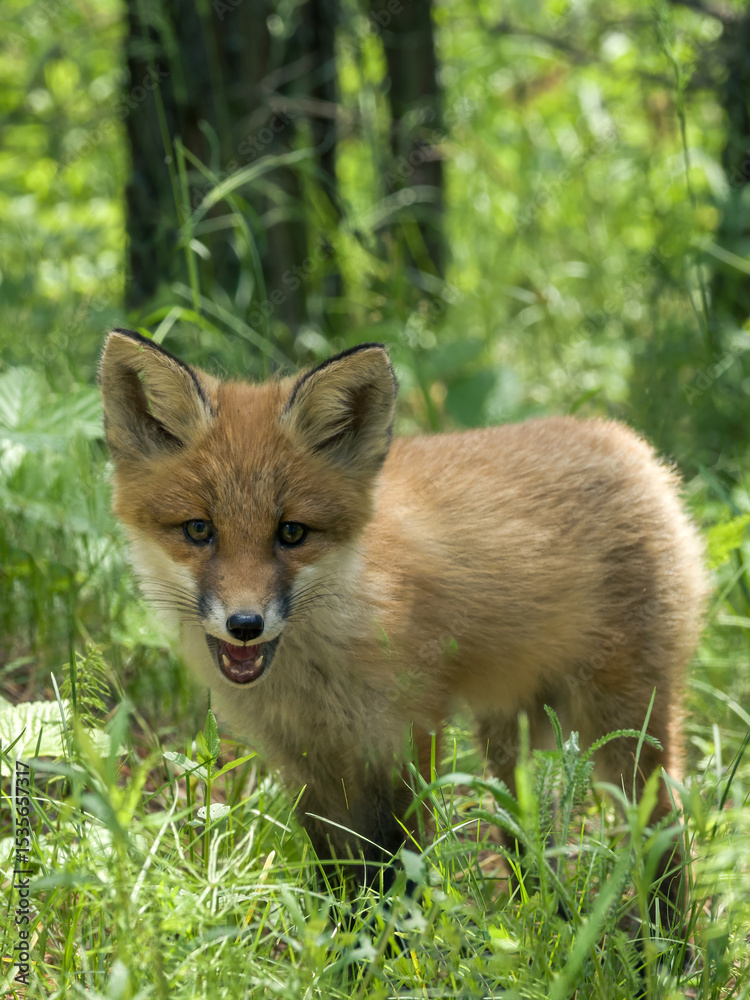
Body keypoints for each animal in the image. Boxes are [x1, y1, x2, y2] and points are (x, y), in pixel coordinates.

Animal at [100, 328, 707, 908]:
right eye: (199, 530)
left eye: (291, 532)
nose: (244, 624)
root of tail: (627, 443)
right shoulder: (305, 762)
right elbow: (340, 878)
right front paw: (344, 940)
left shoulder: (407, 738)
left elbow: (398, 868)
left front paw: (394, 942)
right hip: (511, 738)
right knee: (534, 836)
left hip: (625, 722)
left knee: (666, 832)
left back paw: (666, 940)